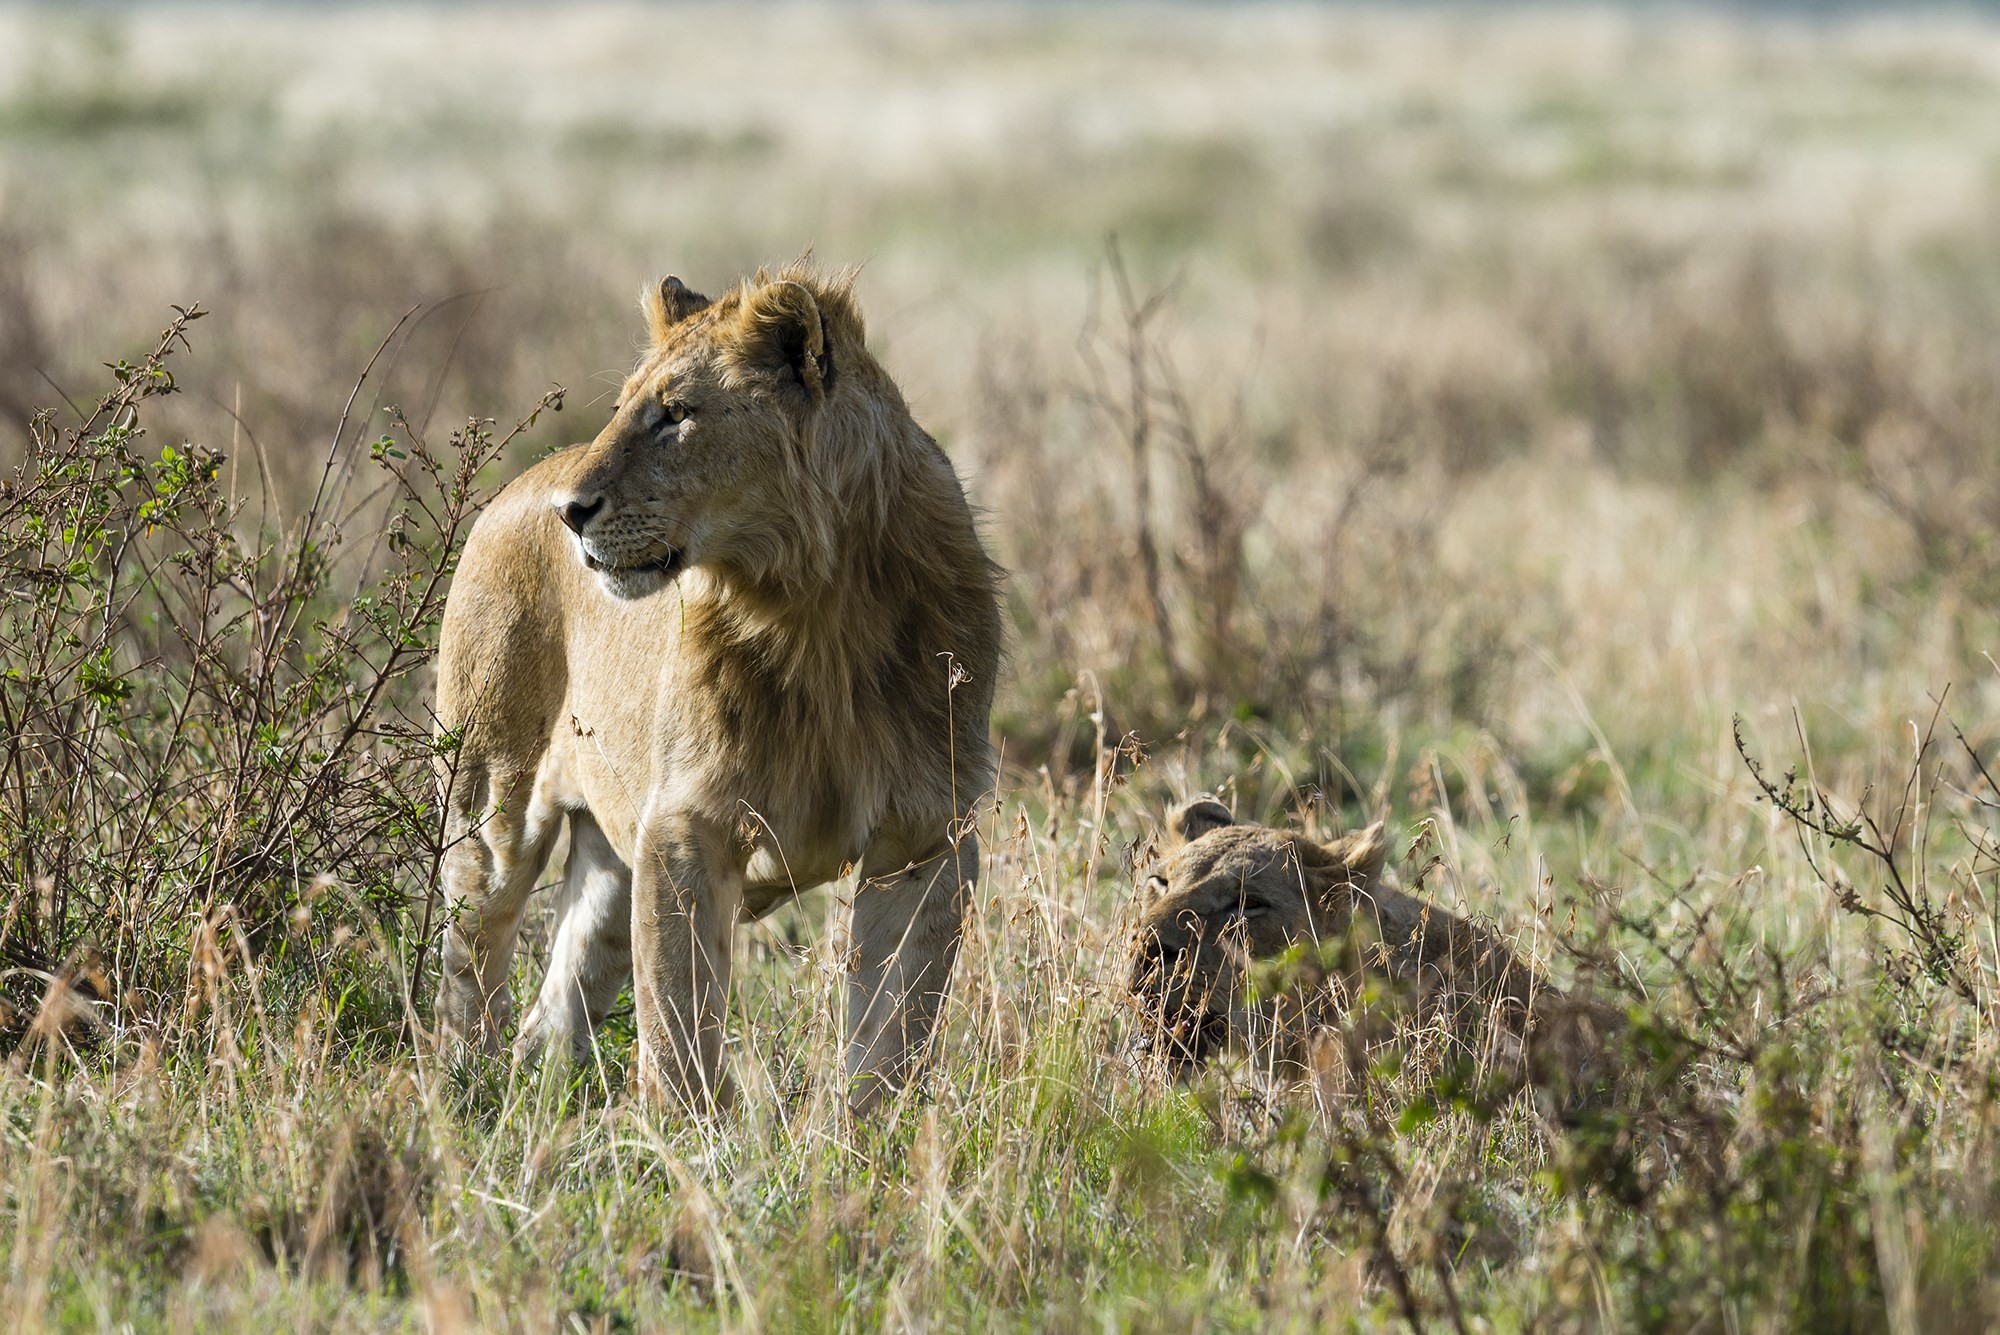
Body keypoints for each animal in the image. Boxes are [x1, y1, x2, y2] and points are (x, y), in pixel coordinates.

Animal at [433, 263, 1001, 1113]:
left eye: (676, 415)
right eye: (622, 408)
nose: (572, 512)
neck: (813, 607)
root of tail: (512, 488)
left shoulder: (927, 835)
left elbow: (892, 1032)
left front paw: (867, 1136)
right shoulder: (684, 824)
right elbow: (678, 1017)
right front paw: (685, 1137)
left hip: (610, 860)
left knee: (556, 1004)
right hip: (493, 799)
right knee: (469, 959)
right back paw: (457, 1089)